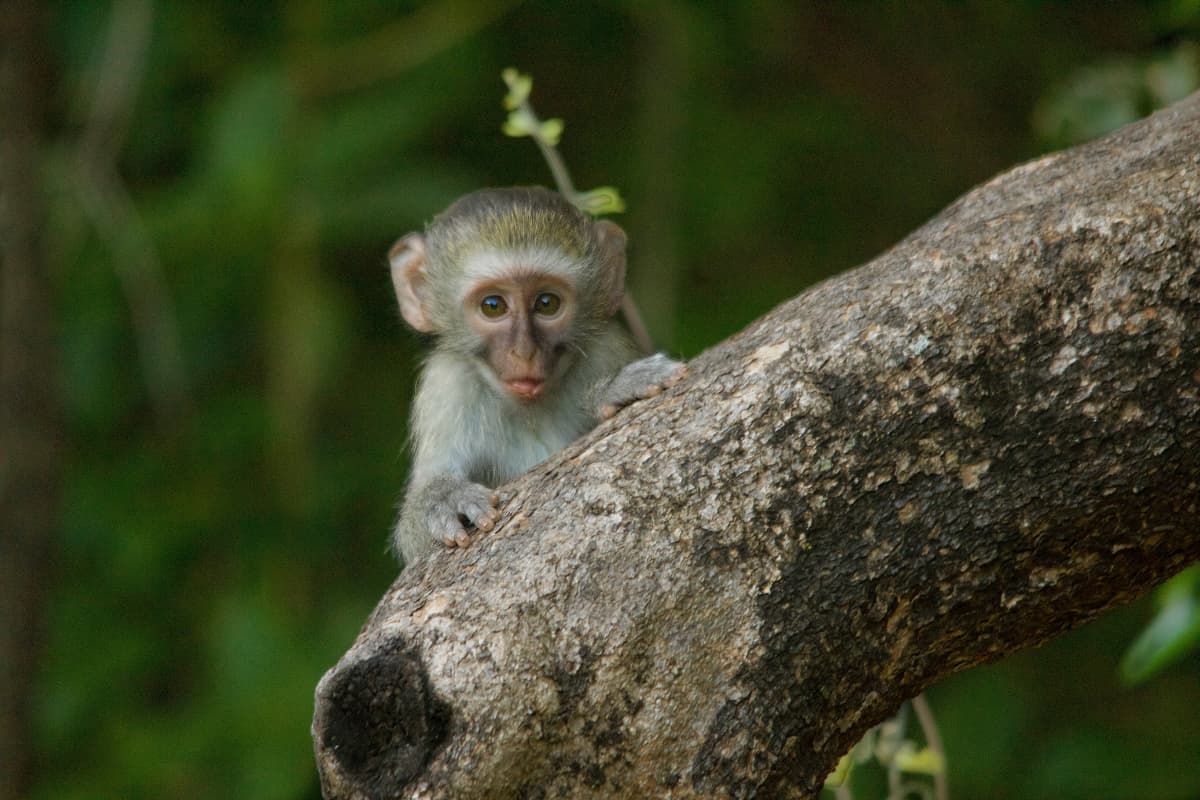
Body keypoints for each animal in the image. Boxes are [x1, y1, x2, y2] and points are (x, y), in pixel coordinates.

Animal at [388, 187, 685, 565]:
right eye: (493, 306)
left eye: (546, 303)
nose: (524, 352)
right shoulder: (446, 384)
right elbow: (417, 539)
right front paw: (444, 498)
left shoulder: (608, 347)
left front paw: (612, 391)